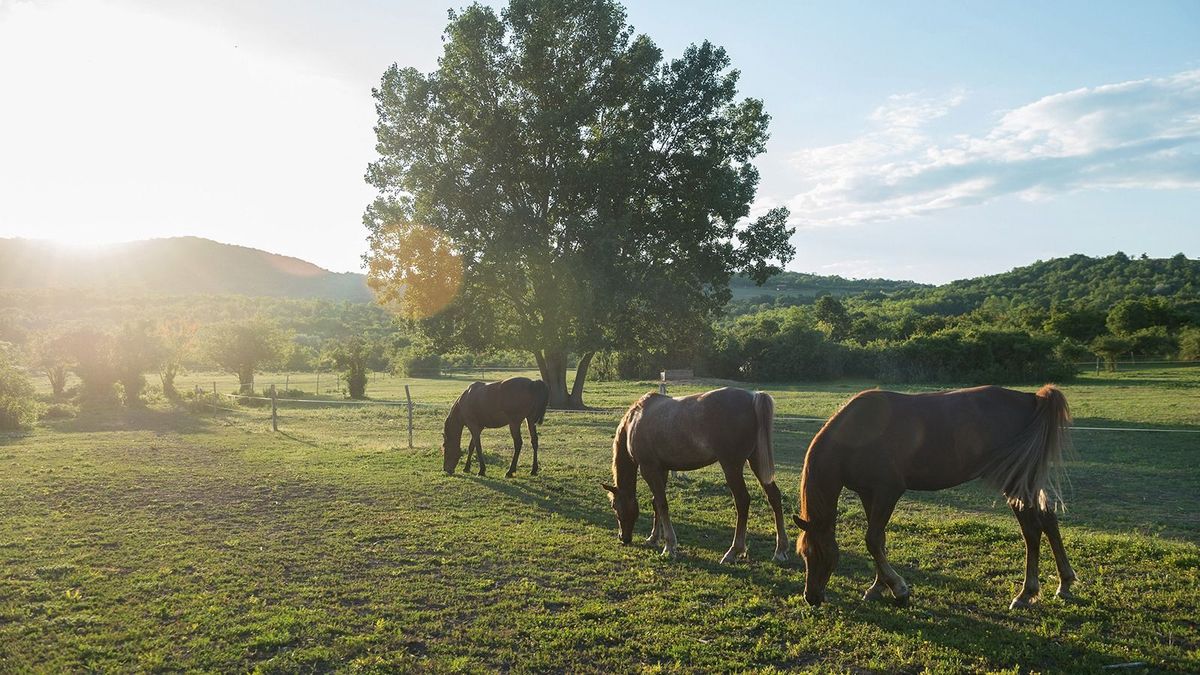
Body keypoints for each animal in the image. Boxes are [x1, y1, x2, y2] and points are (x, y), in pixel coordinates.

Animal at [600, 386, 787, 559]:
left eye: (614, 506)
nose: (623, 538)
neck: (635, 420)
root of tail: (753, 396)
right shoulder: (662, 469)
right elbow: (656, 503)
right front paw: (653, 538)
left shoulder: (649, 469)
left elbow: (662, 504)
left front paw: (669, 546)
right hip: (756, 461)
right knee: (774, 497)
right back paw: (780, 550)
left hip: (731, 466)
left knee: (742, 501)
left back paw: (734, 551)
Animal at [792, 381, 1075, 607]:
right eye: (804, 554)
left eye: (818, 553)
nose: (811, 597)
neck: (856, 434)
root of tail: (1031, 399)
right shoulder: (868, 494)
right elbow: (879, 541)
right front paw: (878, 586)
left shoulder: (887, 492)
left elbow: (872, 540)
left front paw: (898, 589)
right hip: (1027, 482)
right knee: (1048, 520)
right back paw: (1064, 583)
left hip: (1015, 482)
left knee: (1032, 530)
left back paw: (1026, 593)